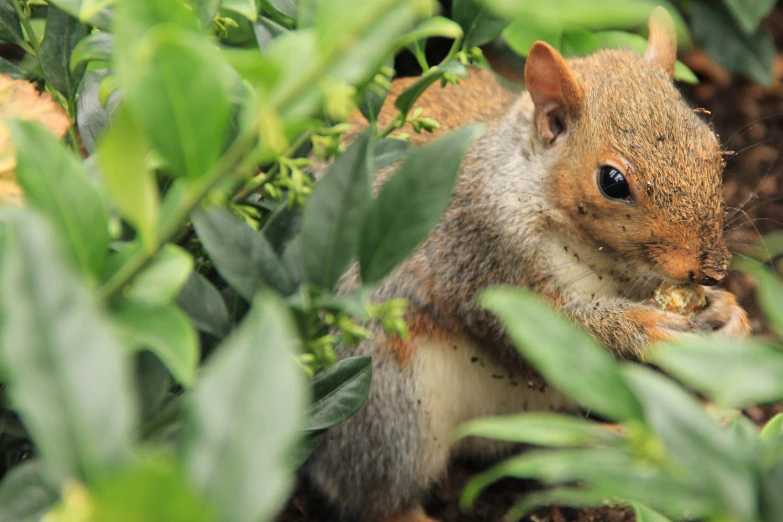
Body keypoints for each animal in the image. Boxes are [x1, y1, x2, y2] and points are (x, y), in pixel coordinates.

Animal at [304, 8, 752, 520]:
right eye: (612, 181)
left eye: (713, 147)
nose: (710, 268)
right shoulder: (485, 251)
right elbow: (546, 324)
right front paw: (646, 327)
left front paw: (725, 312)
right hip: (388, 402)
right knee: (373, 493)